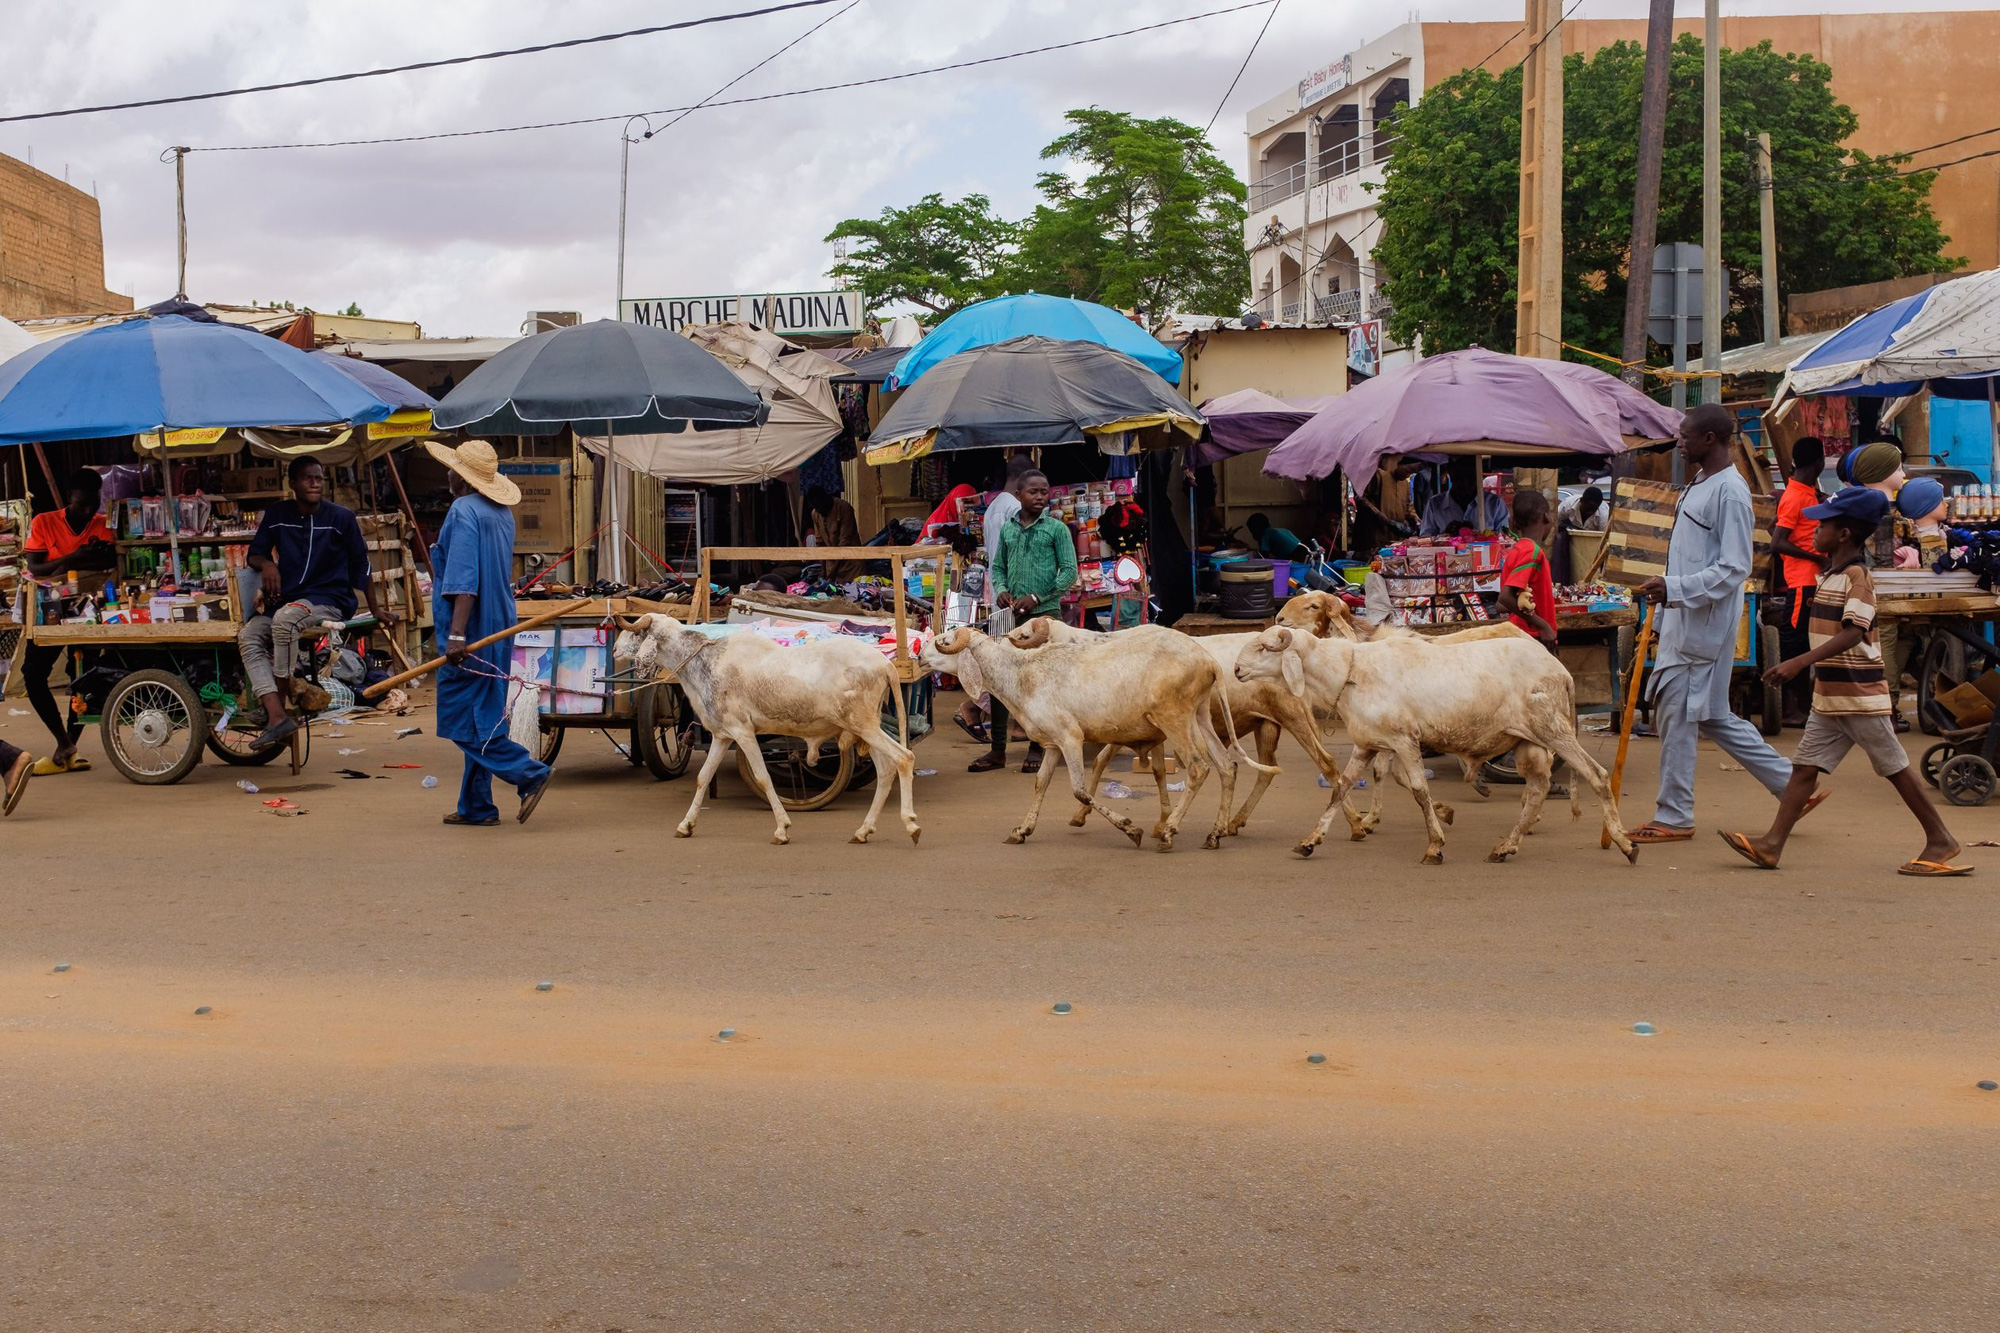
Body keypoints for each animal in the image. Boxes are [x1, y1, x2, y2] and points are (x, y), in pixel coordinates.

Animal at [616, 608, 920, 840]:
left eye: (637, 633)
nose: (616, 648)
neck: (706, 662)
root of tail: (885, 665)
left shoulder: (743, 732)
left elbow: (763, 777)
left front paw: (782, 828)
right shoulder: (723, 735)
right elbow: (703, 777)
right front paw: (686, 825)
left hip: (863, 723)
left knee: (904, 758)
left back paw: (911, 824)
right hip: (866, 728)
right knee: (886, 770)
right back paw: (864, 830)